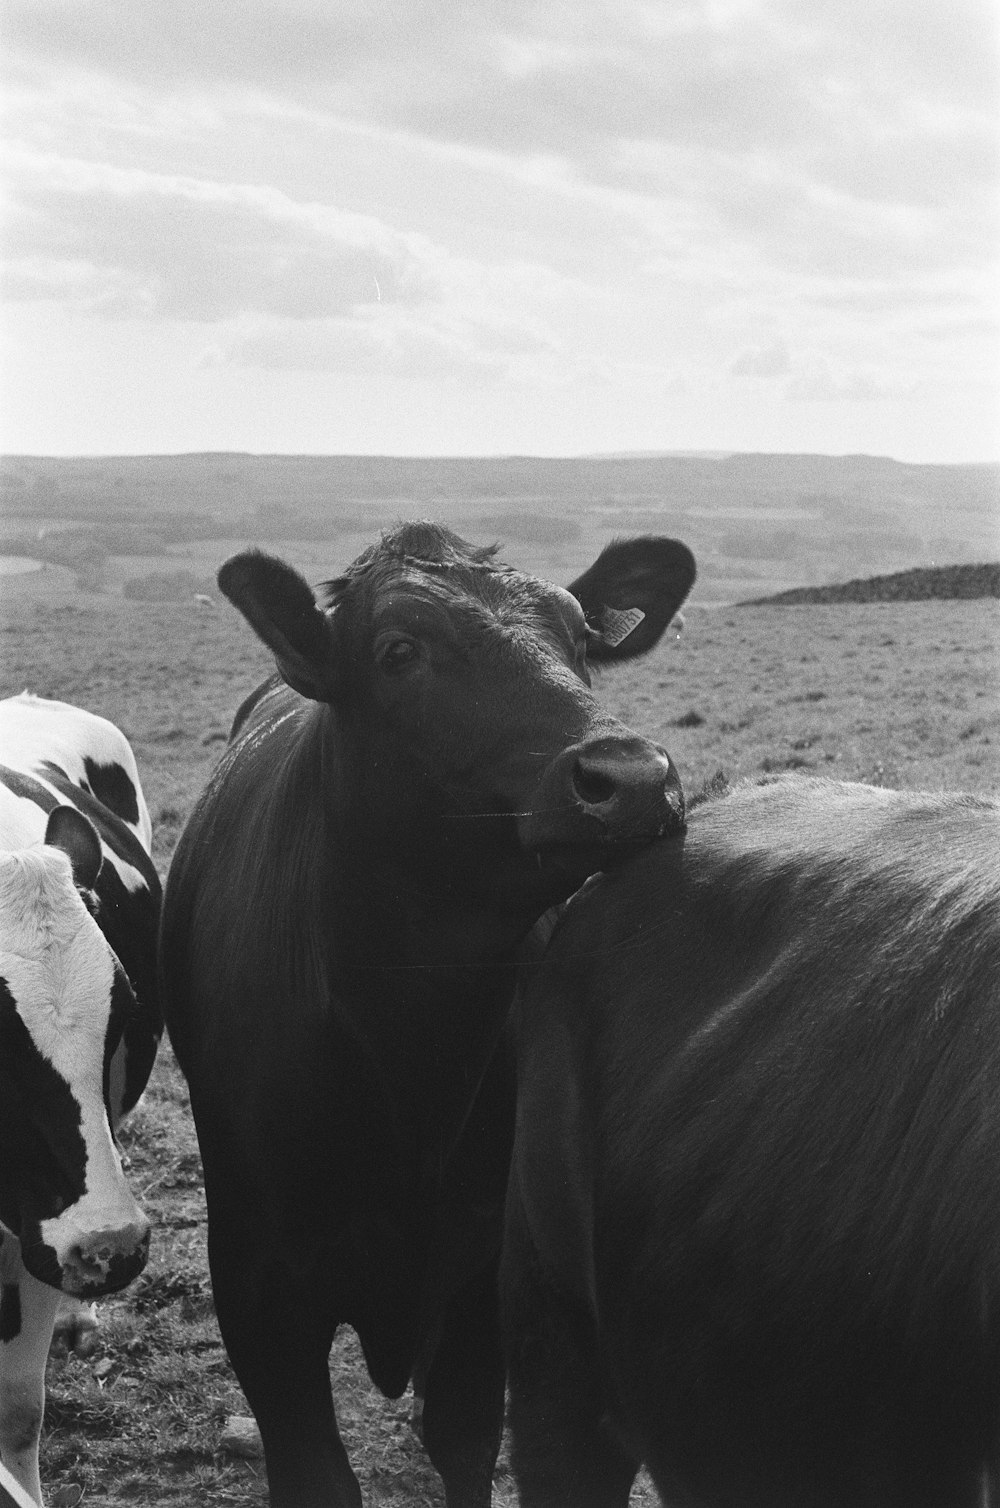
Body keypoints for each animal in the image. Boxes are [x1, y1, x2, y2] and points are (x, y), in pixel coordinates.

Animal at [164, 521, 696, 1508]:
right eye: (399, 652)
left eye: (581, 641)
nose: (634, 778)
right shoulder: (258, 1289)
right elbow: (316, 1474)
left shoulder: (481, 1273)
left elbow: (464, 1441)